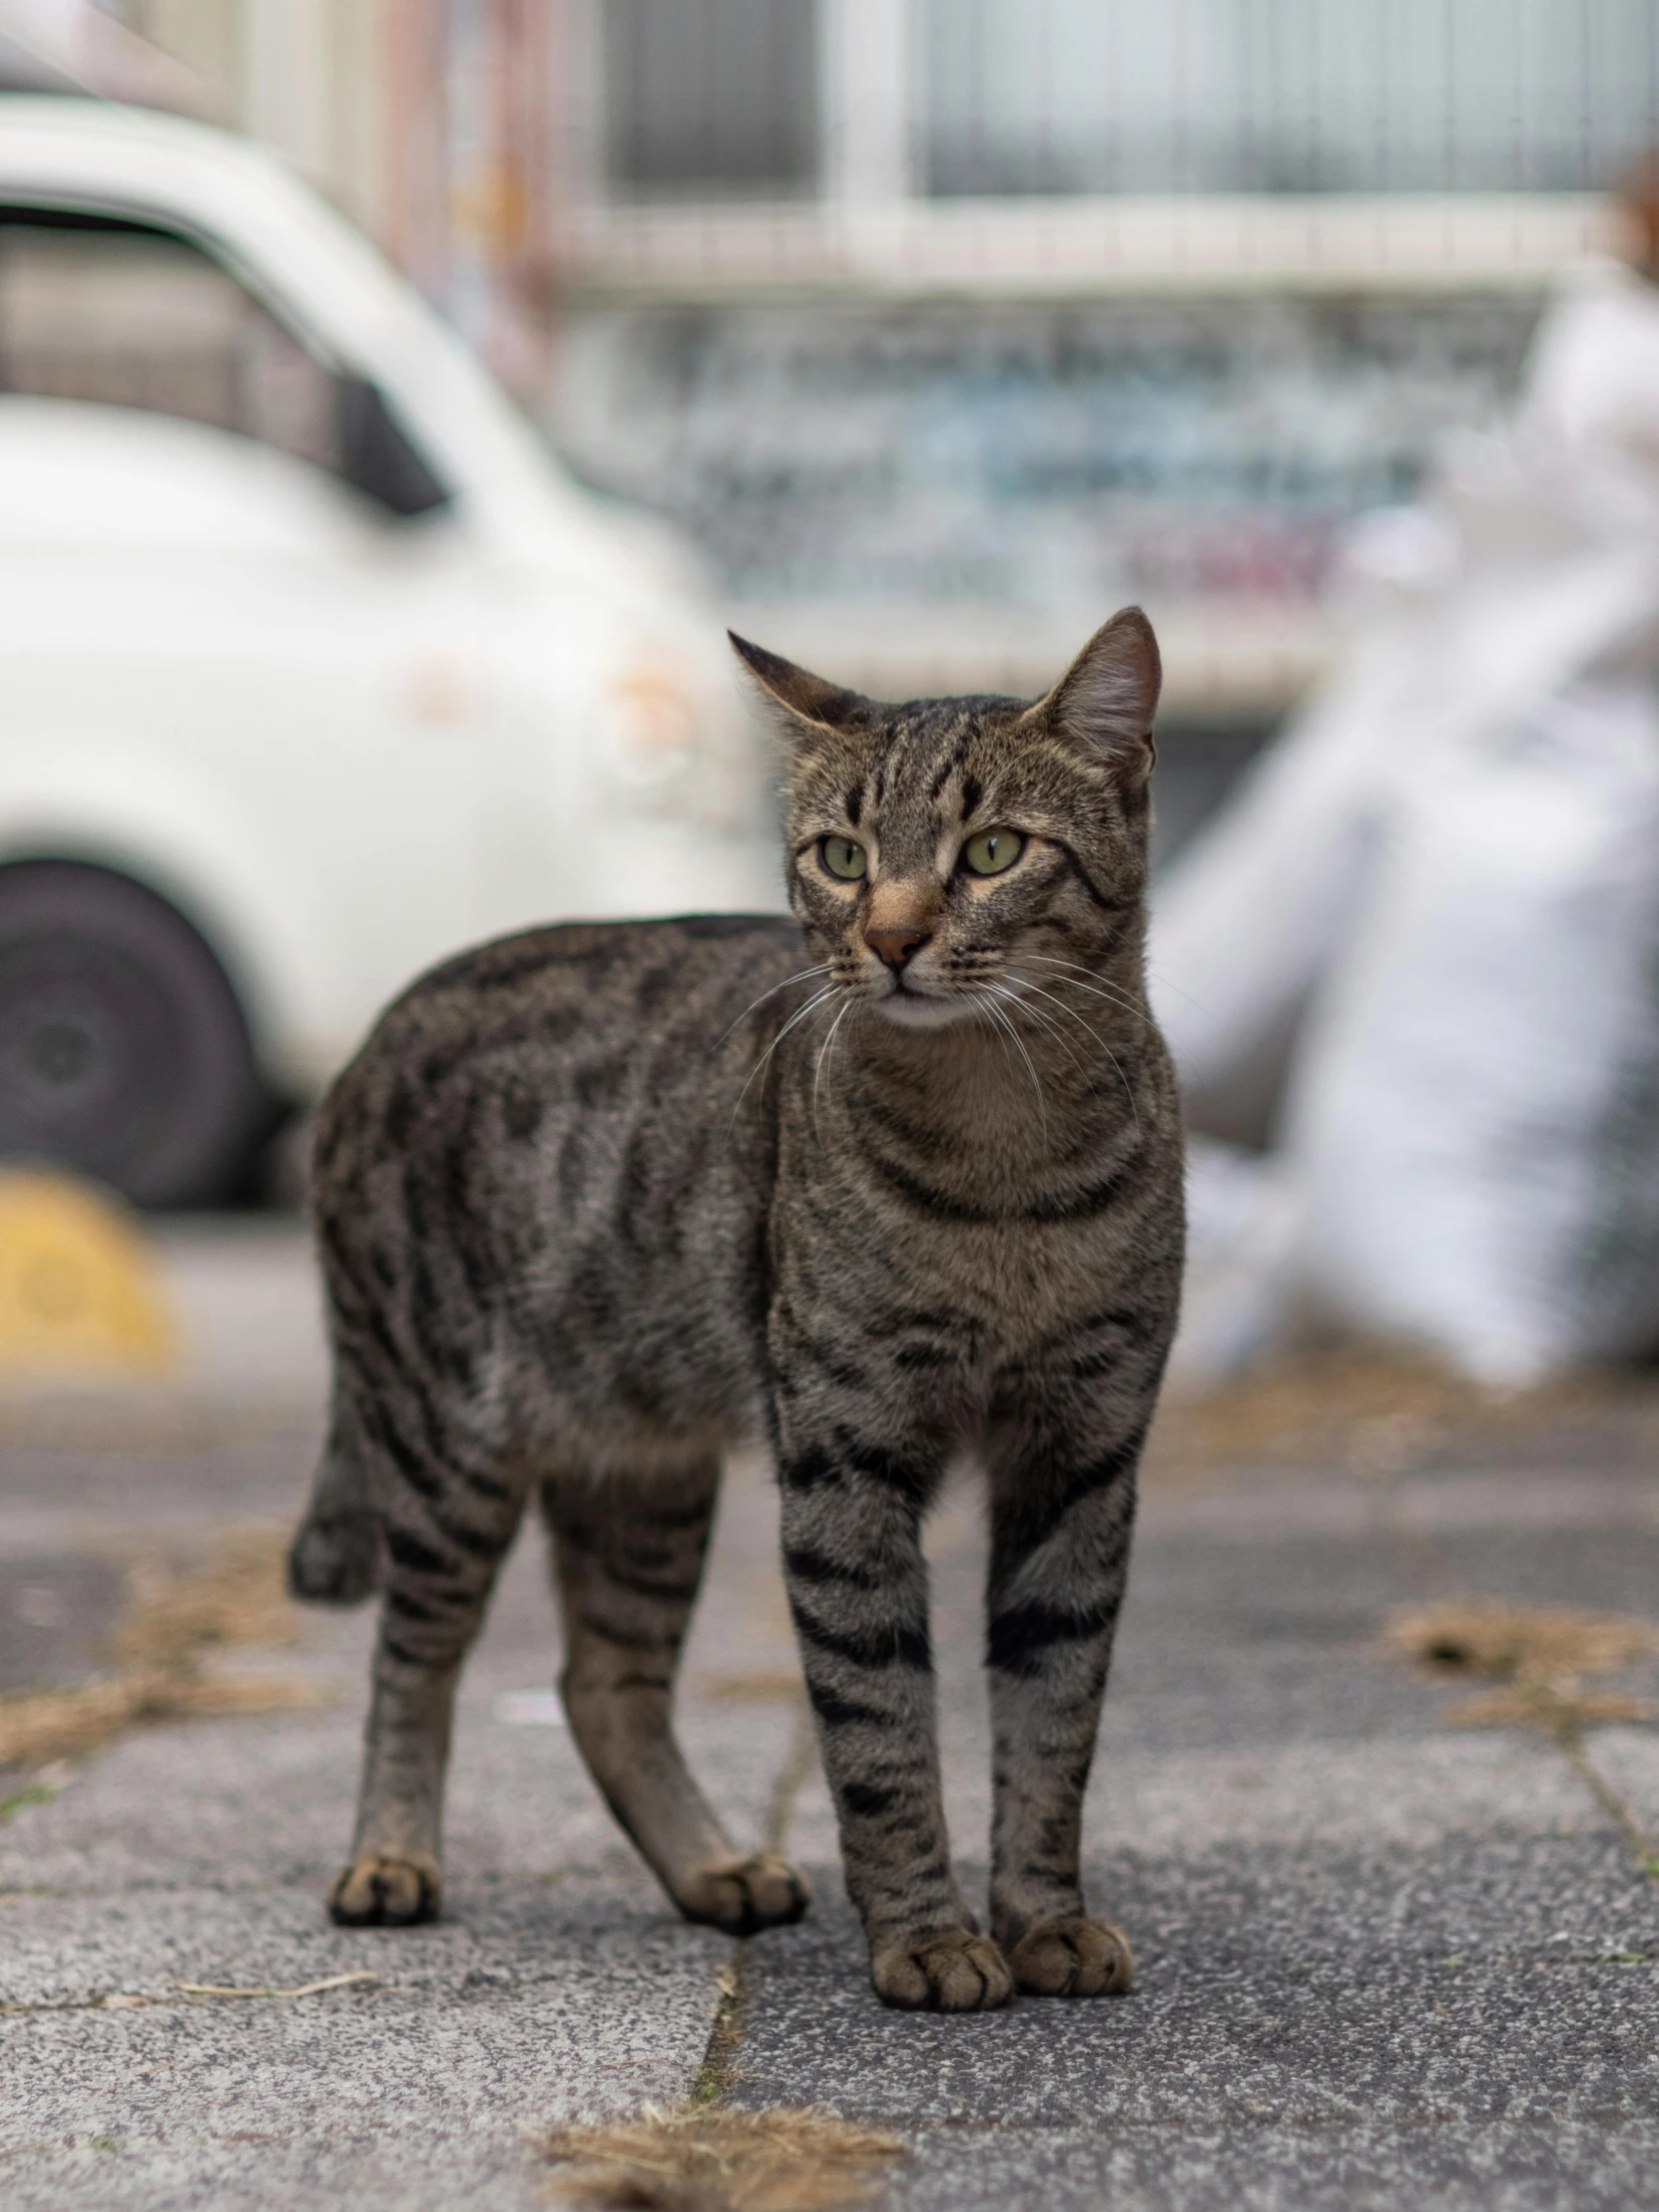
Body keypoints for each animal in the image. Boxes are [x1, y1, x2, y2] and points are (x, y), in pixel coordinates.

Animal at [291, 615, 1185, 2016]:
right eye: (841, 856)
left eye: (992, 851)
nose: (890, 938)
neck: (1006, 1168)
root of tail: (374, 1028)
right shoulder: (843, 1456)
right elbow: (878, 1722)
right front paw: (928, 1936)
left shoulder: (1084, 1454)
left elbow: (1054, 1716)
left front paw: (1045, 1918)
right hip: (444, 1441)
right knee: (411, 1656)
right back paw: (388, 1856)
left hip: (644, 1474)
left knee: (602, 1681)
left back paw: (716, 1867)